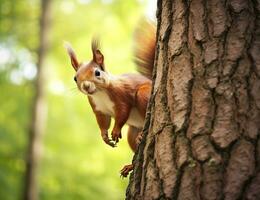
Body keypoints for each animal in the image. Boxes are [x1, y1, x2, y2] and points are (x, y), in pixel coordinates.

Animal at [64, 22, 155, 177]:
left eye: (97, 72)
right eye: (75, 78)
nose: (86, 86)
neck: (100, 93)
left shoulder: (122, 96)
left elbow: (122, 113)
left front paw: (116, 131)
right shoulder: (98, 109)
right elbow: (103, 122)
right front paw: (105, 137)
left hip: (144, 94)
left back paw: (141, 136)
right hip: (132, 131)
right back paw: (130, 166)